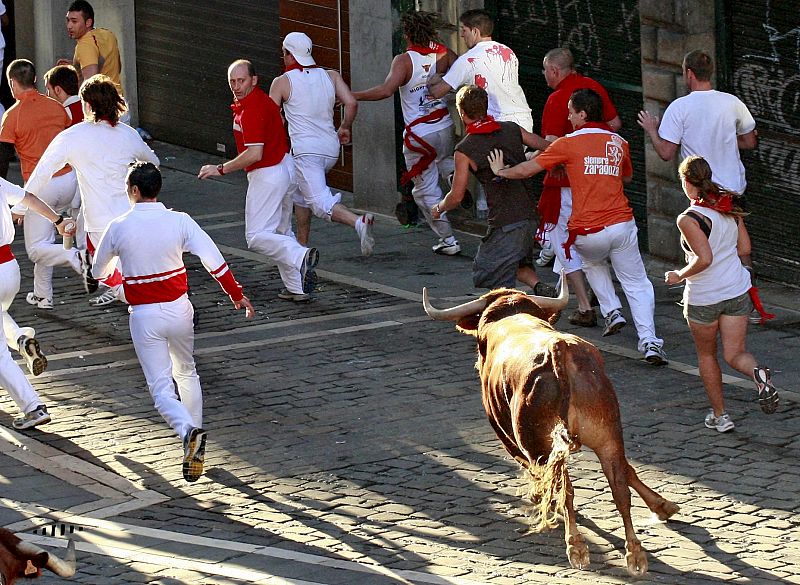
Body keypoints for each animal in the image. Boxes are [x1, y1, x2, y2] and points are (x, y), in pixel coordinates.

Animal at [422, 280, 680, 576]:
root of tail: (560, 348)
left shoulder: (506, 433)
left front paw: (538, 495)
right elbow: (628, 473)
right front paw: (662, 505)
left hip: (541, 442)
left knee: (565, 488)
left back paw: (576, 546)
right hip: (608, 435)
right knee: (619, 484)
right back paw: (635, 553)